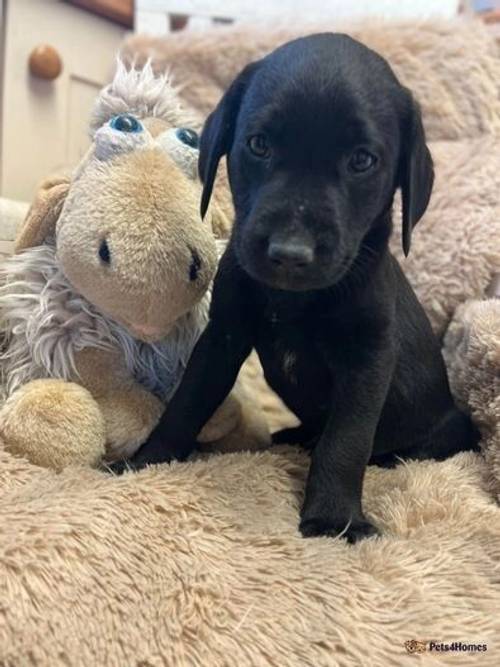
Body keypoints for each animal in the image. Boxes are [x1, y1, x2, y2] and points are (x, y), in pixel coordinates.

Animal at [123, 32, 478, 544]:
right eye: (259, 144)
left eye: (362, 160)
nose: (290, 253)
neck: (294, 299)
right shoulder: (223, 337)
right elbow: (187, 402)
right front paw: (147, 461)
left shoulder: (368, 359)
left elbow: (346, 440)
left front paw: (333, 517)